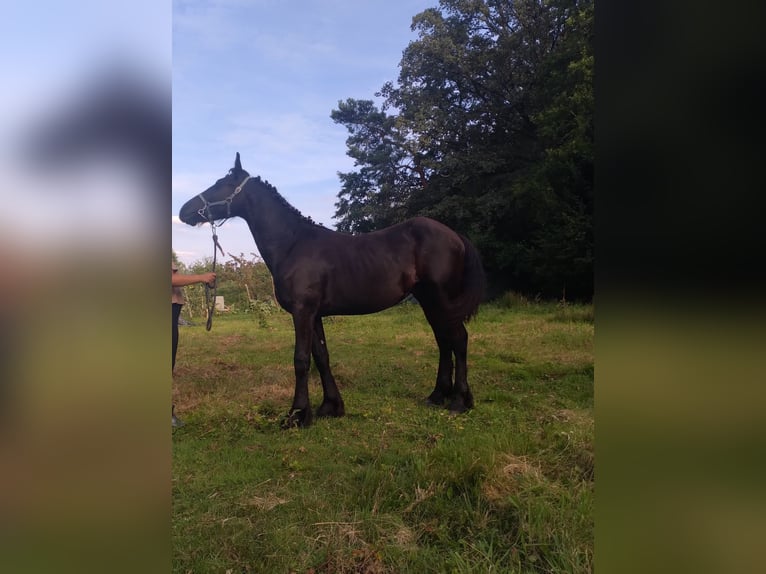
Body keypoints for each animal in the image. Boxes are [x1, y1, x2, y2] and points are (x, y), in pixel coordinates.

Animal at [180, 153, 486, 428]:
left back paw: (459, 401)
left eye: (221, 184)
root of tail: (455, 236)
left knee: (458, 339)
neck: (293, 244)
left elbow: (301, 360)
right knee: (444, 341)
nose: (184, 212)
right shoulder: (314, 315)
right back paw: (437, 396)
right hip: (429, 301)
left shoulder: (303, 312)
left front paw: (296, 416)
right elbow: (322, 357)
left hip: (442, 299)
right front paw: (330, 407)